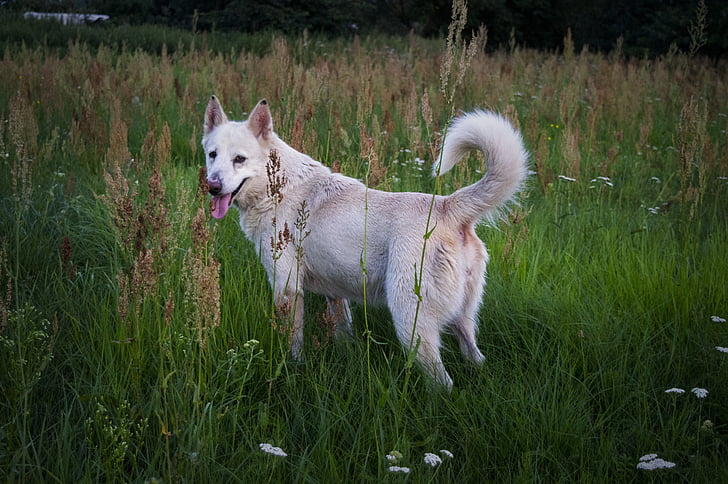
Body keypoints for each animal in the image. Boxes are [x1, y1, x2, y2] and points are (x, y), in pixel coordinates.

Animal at [202, 96, 528, 388]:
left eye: (240, 159)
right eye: (212, 155)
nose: (212, 186)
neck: (277, 186)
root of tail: (447, 206)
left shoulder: (287, 288)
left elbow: (293, 343)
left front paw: (293, 368)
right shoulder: (335, 293)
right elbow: (343, 331)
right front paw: (347, 356)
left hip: (411, 323)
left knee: (443, 383)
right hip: (463, 321)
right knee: (476, 358)